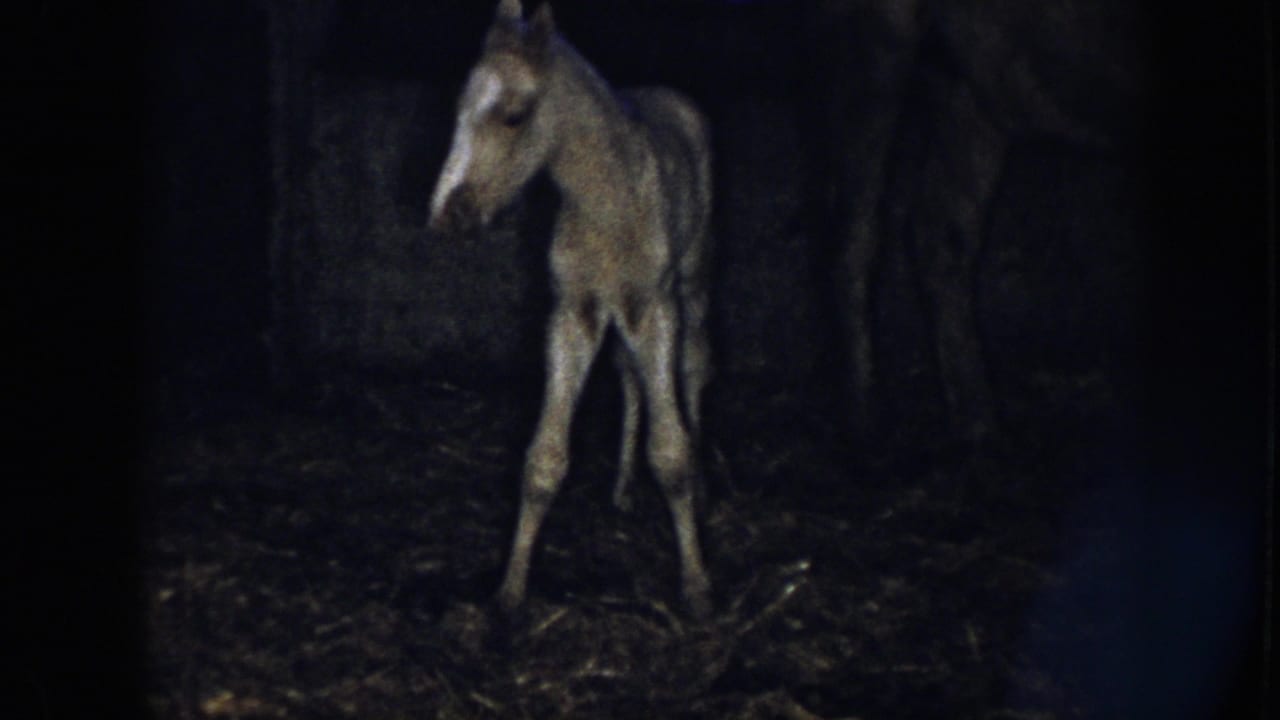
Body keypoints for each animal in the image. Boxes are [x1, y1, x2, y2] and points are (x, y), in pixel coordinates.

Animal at [427, 0, 714, 619]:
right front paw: (510, 591)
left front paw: (697, 584)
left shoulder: (656, 309)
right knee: (628, 378)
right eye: (459, 108)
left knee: (696, 365)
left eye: (514, 115)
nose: (445, 217)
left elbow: (671, 452)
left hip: (693, 281)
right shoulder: (572, 313)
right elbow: (544, 457)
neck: (607, 201)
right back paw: (622, 489)